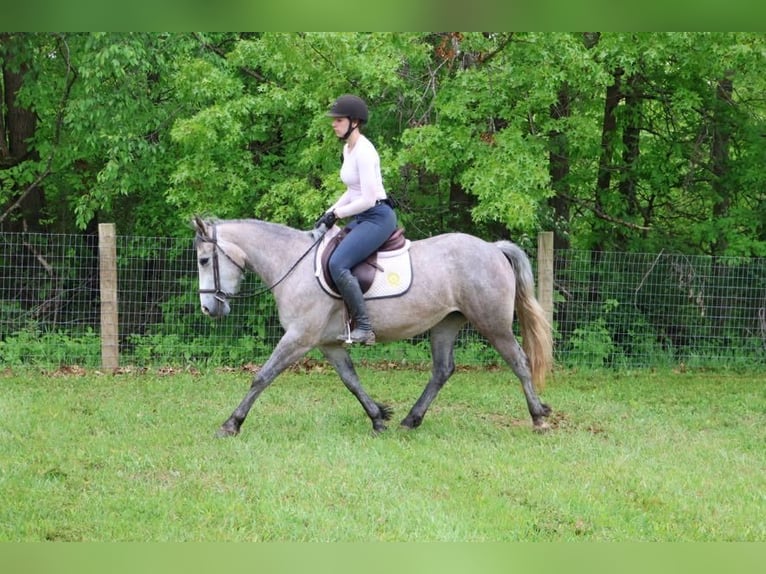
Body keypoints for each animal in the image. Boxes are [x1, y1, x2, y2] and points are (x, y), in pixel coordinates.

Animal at [193, 216, 553, 436]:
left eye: (203, 260)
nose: (209, 309)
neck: (292, 265)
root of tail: (493, 248)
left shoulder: (298, 338)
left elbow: (262, 377)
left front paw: (232, 423)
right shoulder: (329, 344)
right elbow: (352, 381)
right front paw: (379, 417)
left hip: (493, 324)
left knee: (519, 362)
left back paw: (538, 416)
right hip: (445, 325)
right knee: (442, 370)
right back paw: (411, 420)